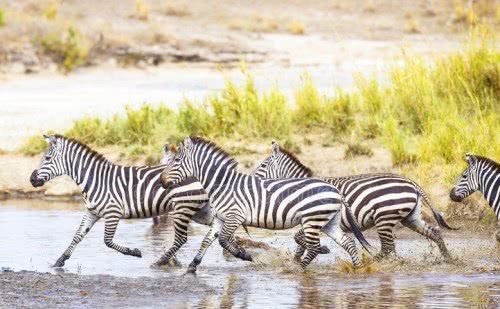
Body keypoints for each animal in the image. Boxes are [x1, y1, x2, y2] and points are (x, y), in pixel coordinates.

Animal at [29, 134, 212, 266]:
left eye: (47, 159)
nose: (31, 179)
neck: (95, 180)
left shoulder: (112, 213)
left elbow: (107, 241)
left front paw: (134, 252)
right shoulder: (92, 212)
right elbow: (77, 236)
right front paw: (59, 261)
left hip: (182, 208)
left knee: (182, 238)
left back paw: (162, 261)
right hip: (202, 210)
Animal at [158, 137, 374, 270]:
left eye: (176, 161)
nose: (161, 181)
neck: (223, 184)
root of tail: (336, 190)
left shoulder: (234, 216)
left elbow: (224, 241)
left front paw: (245, 255)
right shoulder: (220, 218)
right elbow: (207, 241)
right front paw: (192, 267)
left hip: (312, 220)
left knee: (314, 248)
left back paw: (297, 270)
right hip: (328, 221)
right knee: (348, 243)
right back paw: (358, 269)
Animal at [252, 141, 456, 260]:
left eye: (262, 165)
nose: (251, 177)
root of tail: (411, 182)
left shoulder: (314, 219)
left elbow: (298, 238)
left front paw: (318, 251)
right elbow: (299, 243)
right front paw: (297, 262)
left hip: (384, 217)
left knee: (388, 246)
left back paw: (378, 261)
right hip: (410, 217)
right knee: (434, 232)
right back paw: (448, 259)